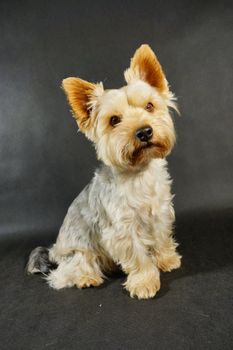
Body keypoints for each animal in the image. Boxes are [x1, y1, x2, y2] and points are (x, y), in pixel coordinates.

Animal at [26, 43, 181, 300]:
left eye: (149, 106)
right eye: (114, 120)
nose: (144, 132)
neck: (139, 174)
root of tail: (53, 251)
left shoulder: (160, 212)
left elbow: (160, 237)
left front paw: (166, 259)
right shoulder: (122, 230)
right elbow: (138, 256)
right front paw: (144, 282)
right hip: (79, 250)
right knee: (65, 272)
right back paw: (86, 278)